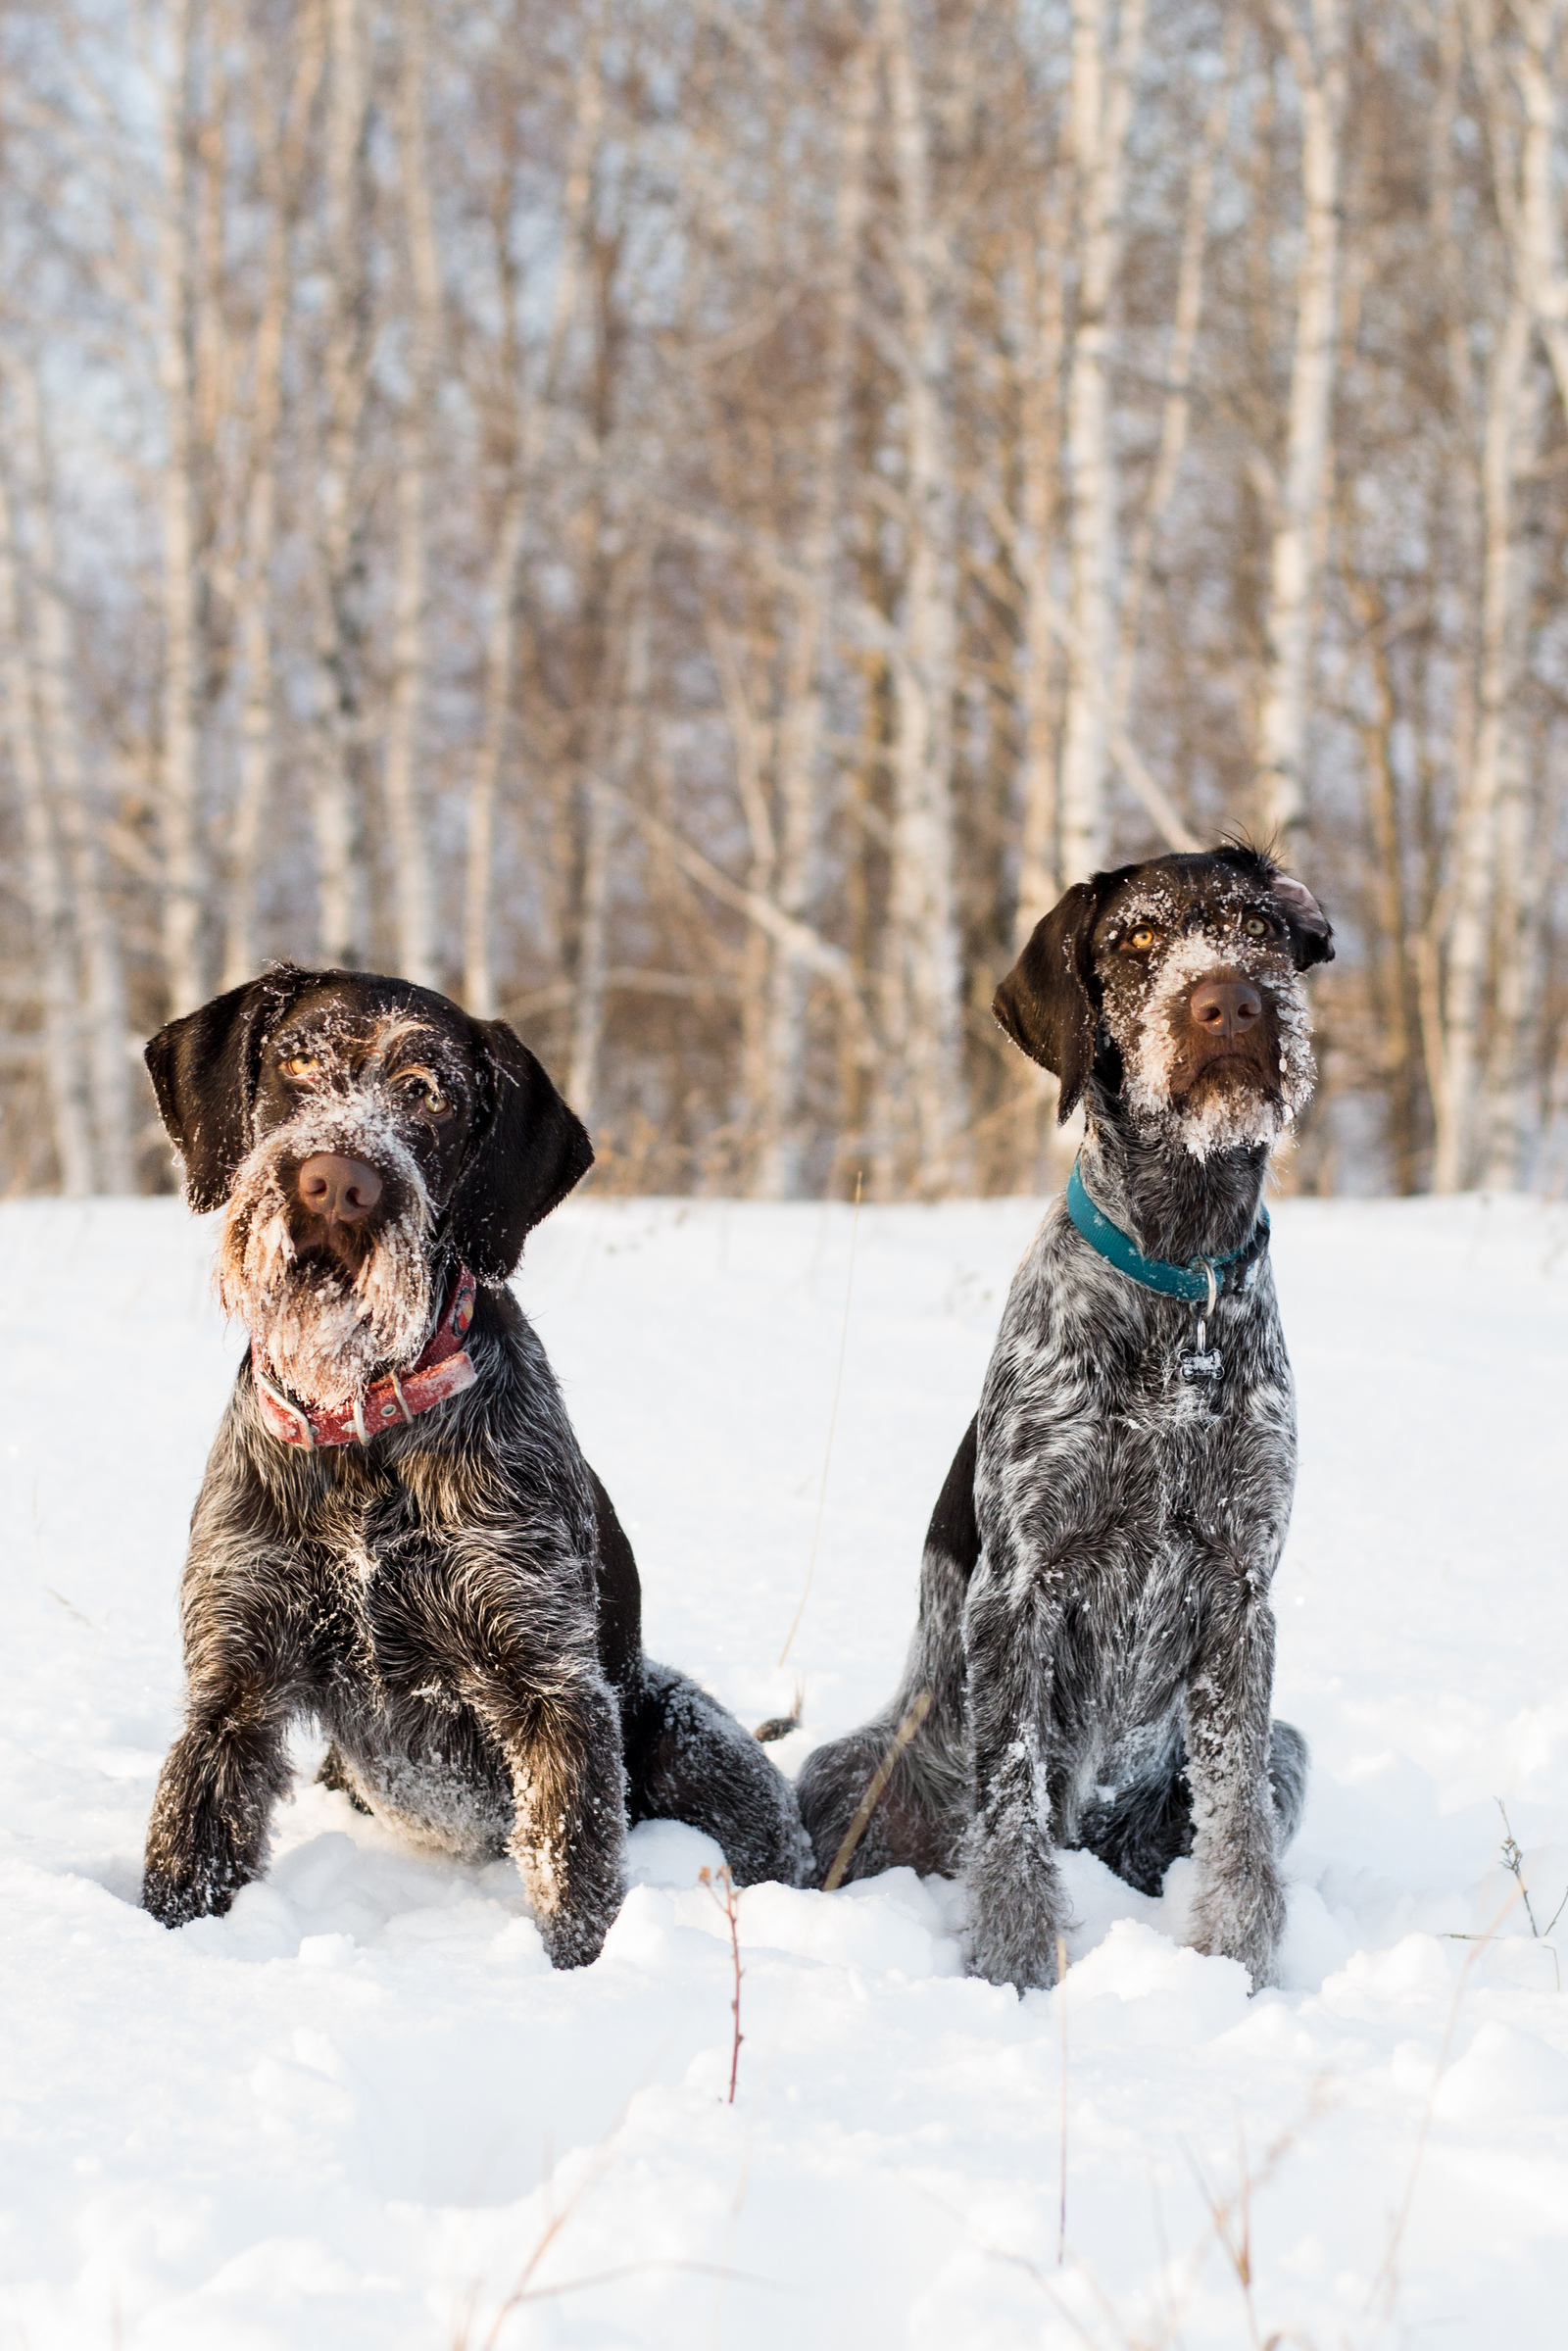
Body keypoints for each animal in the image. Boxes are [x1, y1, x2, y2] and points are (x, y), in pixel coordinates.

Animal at [137, 958, 808, 1965]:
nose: (336, 1183)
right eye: (297, 1059)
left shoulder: (552, 1690)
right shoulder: (233, 1686)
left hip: (698, 1747)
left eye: (429, 1093)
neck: (365, 1428)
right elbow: (188, 1854)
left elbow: (574, 1876)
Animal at [799, 846, 1335, 1984]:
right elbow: (1009, 1812)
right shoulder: (1021, 1588)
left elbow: (1236, 1828)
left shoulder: (1241, 1592)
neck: (1180, 1282)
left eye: (1257, 924)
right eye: (1136, 938)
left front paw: (1238, 1970)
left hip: (1281, 1751)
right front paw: (1011, 1972)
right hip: (852, 1764)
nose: (1230, 1001)